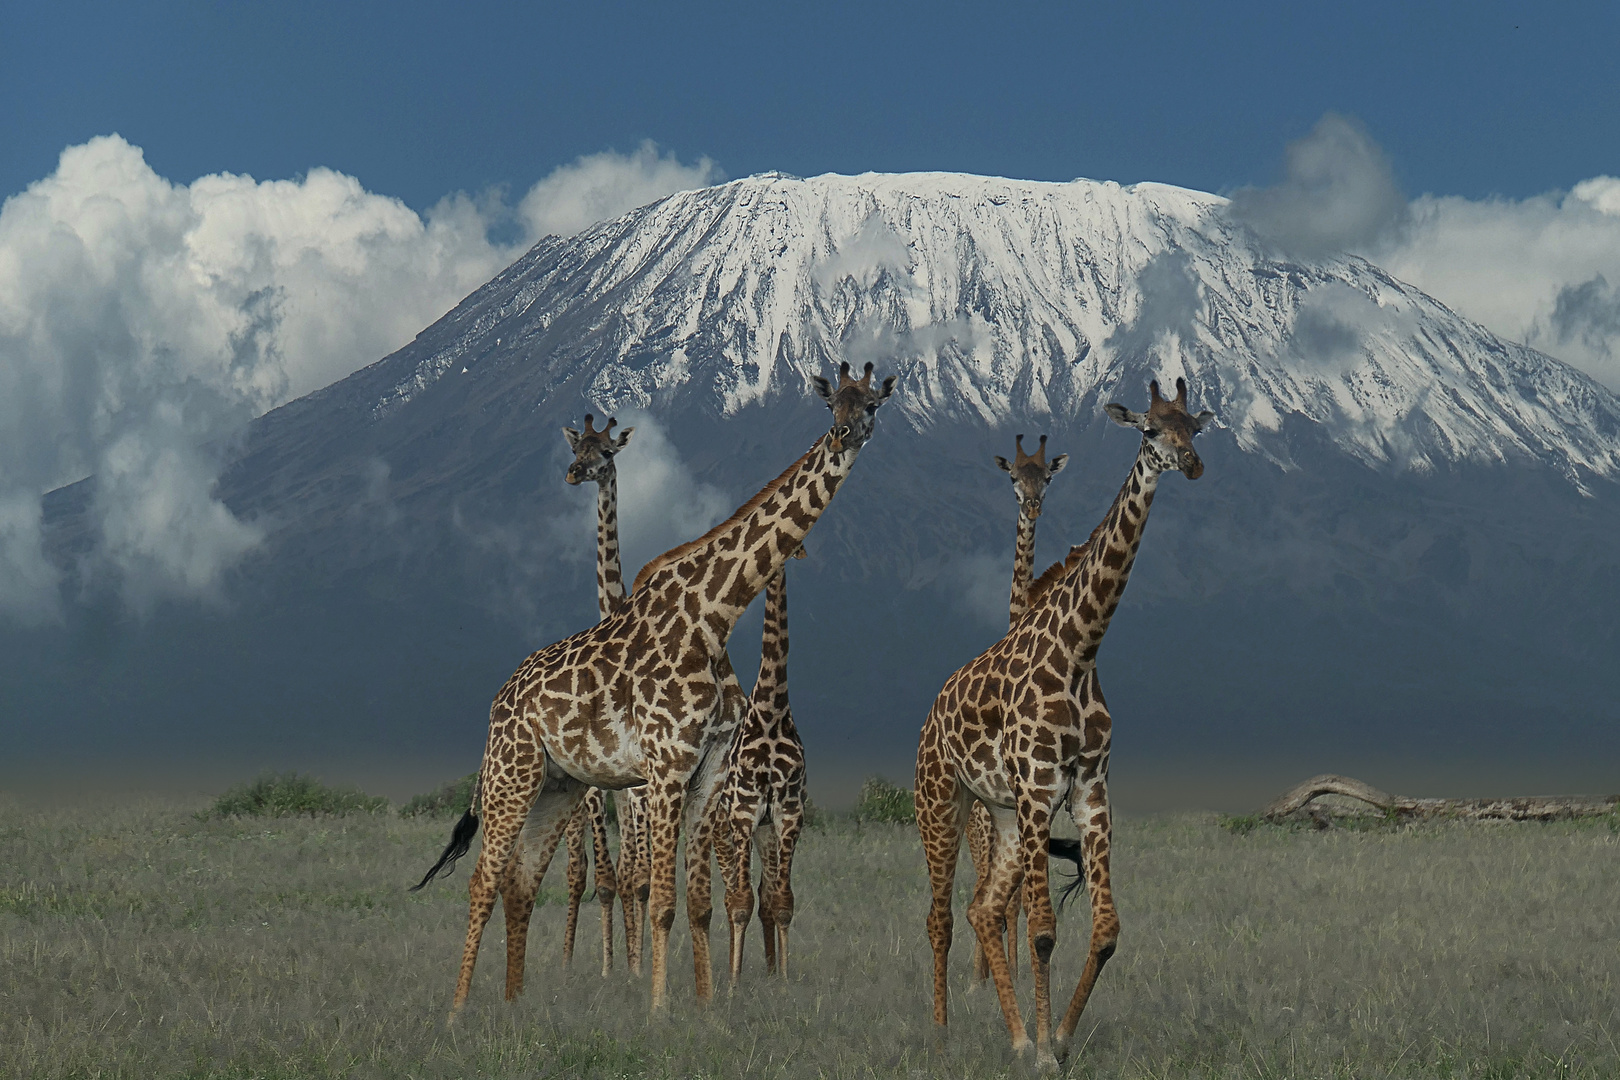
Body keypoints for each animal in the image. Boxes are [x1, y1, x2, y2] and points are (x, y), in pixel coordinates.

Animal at [417, 362, 900, 1016]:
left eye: (872, 404)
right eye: (833, 407)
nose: (845, 435)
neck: (715, 613)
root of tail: (499, 698)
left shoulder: (708, 773)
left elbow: (698, 903)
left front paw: (708, 1008)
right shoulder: (665, 768)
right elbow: (661, 900)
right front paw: (658, 1011)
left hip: (559, 787)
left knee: (520, 883)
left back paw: (514, 1005)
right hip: (510, 773)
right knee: (483, 880)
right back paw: (457, 1012)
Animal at [920, 382, 1211, 1075]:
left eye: (1193, 426)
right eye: (1150, 431)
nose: (1191, 465)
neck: (1081, 649)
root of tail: (933, 710)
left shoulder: (1088, 789)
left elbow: (1104, 932)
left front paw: (1054, 1038)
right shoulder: (1038, 786)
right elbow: (1045, 931)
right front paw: (1048, 1054)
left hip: (1001, 815)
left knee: (982, 908)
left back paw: (1015, 1035)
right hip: (943, 801)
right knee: (942, 917)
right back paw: (942, 1034)